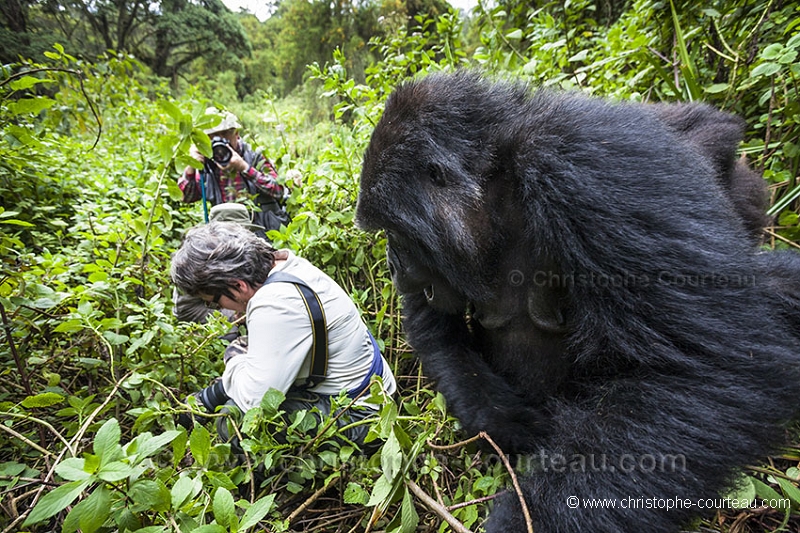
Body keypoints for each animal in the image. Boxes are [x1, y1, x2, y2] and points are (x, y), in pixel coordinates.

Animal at [356, 70, 800, 532]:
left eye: (395, 233)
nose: (393, 264)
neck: (493, 191)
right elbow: (436, 330)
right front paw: (507, 423)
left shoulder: (584, 163)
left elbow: (715, 367)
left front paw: (526, 519)